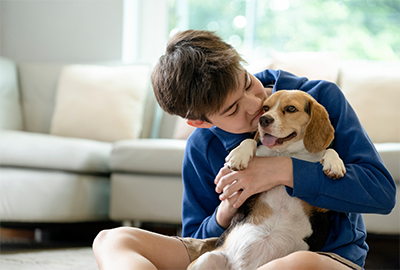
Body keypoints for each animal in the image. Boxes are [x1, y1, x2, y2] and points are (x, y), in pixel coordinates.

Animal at [189, 90, 346, 270]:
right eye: (265, 108)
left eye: (291, 108)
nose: (263, 120)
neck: (287, 153)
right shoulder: (247, 194)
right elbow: (250, 140)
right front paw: (239, 155)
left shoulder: (320, 206)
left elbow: (330, 151)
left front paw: (334, 164)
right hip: (207, 258)